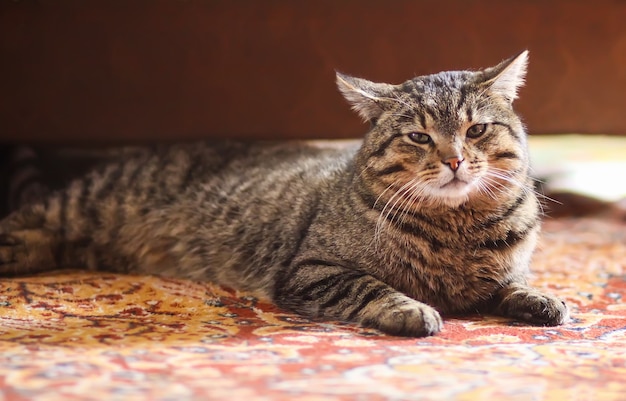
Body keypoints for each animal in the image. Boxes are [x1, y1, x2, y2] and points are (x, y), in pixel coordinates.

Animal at [0, 51, 564, 336]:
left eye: (476, 130)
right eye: (419, 137)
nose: (454, 160)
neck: (457, 226)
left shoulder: (508, 268)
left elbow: (515, 283)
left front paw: (541, 299)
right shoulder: (313, 269)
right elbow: (372, 288)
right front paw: (412, 309)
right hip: (78, 207)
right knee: (26, 220)